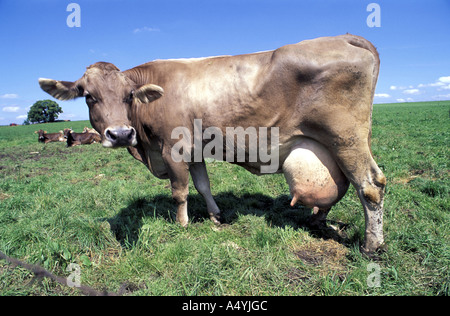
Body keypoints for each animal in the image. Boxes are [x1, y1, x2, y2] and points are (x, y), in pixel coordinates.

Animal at [37, 33, 386, 253]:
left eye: (128, 96)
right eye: (88, 96)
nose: (121, 134)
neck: (147, 150)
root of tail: (344, 37)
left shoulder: (173, 149)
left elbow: (179, 192)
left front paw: (182, 225)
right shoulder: (196, 151)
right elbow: (203, 185)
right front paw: (216, 216)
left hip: (346, 139)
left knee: (370, 186)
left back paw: (371, 245)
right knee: (342, 186)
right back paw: (317, 219)